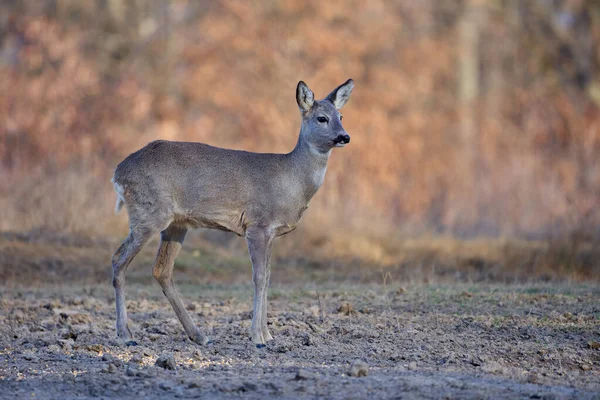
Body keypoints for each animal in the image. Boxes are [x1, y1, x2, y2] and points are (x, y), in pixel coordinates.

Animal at [110, 79, 354, 346]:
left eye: (341, 116)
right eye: (322, 118)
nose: (344, 136)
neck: (292, 180)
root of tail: (118, 173)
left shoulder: (272, 233)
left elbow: (268, 276)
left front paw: (268, 335)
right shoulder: (258, 225)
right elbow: (259, 277)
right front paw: (257, 336)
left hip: (176, 224)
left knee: (161, 270)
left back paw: (199, 335)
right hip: (148, 213)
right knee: (119, 259)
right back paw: (125, 334)